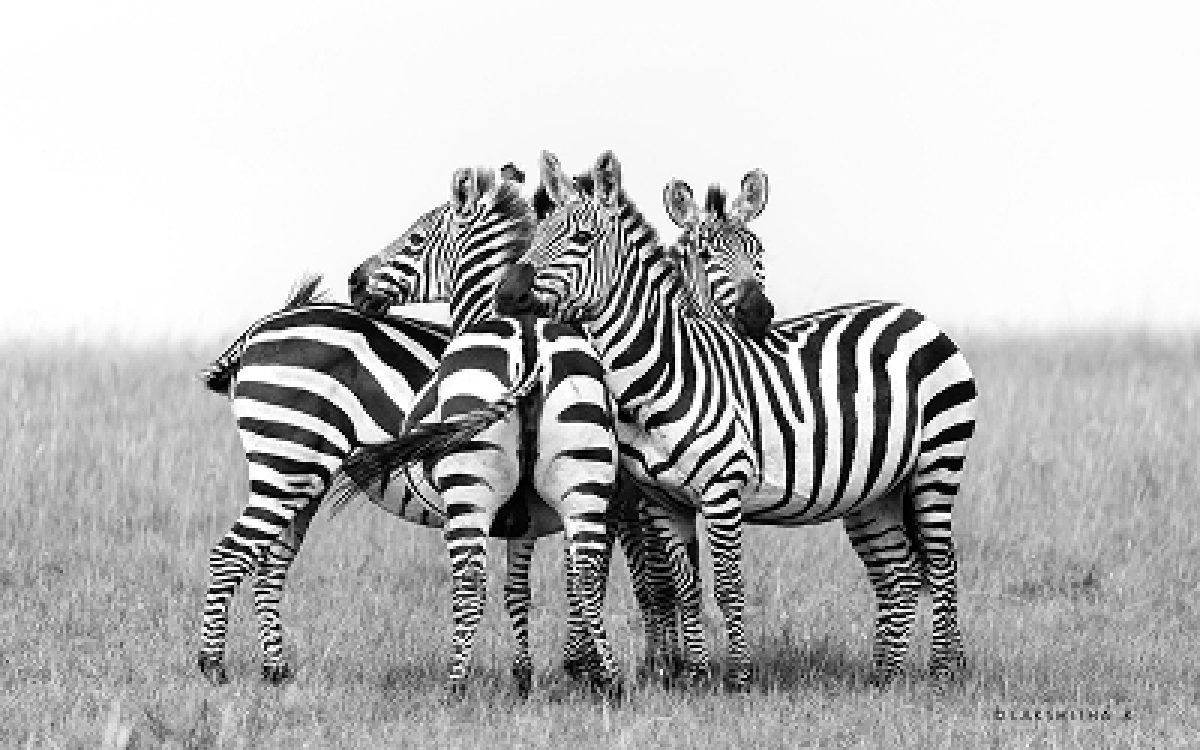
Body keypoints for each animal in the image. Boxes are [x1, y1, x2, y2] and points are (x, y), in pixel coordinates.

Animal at [496, 150, 978, 690]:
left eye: (580, 239)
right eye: (536, 234)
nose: (505, 295)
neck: (667, 371)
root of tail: (915, 315)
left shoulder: (722, 491)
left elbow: (727, 587)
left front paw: (738, 678)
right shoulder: (664, 501)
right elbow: (685, 587)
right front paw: (693, 677)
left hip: (936, 464)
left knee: (942, 564)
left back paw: (944, 672)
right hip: (876, 490)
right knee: (899, 574)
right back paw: (884, 677)